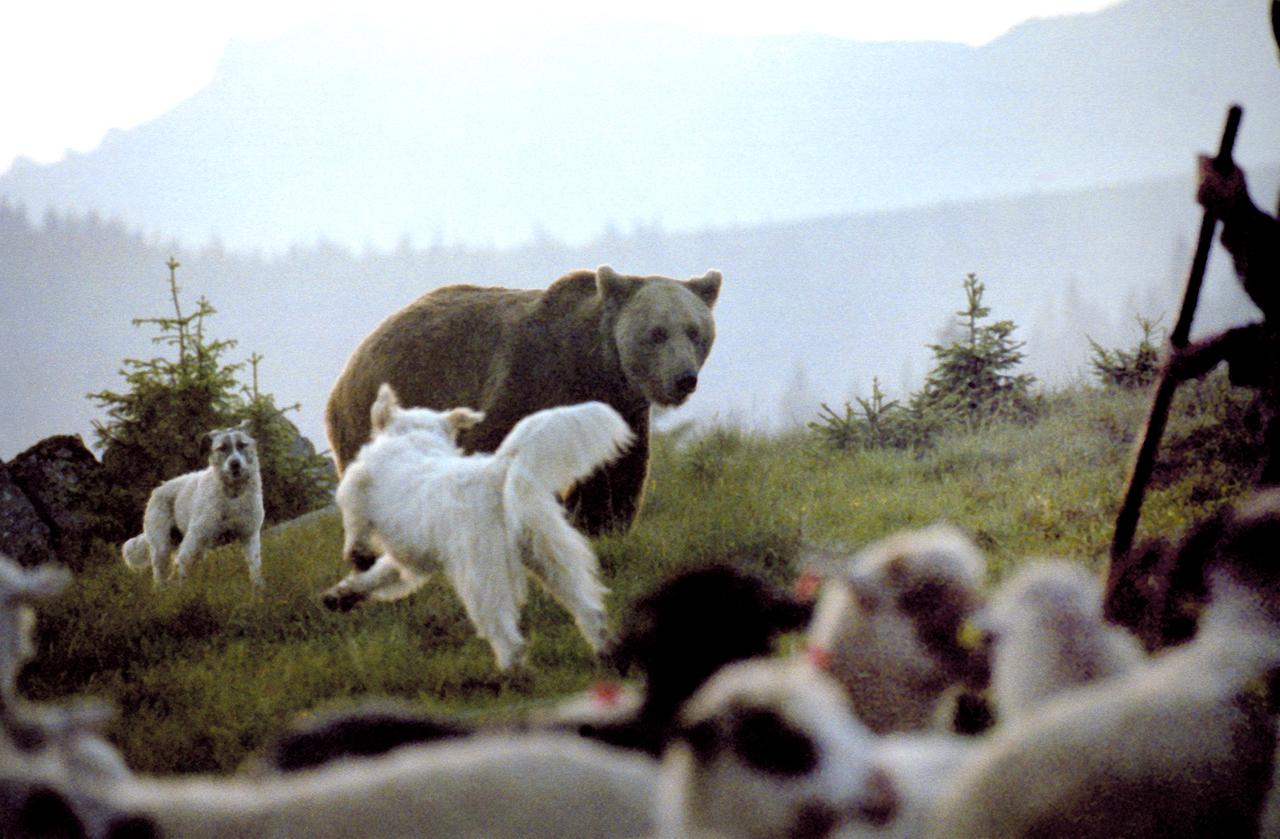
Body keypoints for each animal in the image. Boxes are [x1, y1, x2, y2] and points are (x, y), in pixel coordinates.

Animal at [325, 265, 722, 534]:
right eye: (657, 333)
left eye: (695, 331)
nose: (684, 379)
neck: (592, 367)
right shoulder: (528, 377)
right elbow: (491, 444)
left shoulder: (621, 410)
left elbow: (615, 474)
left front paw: (601, 525)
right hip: (371, 414)